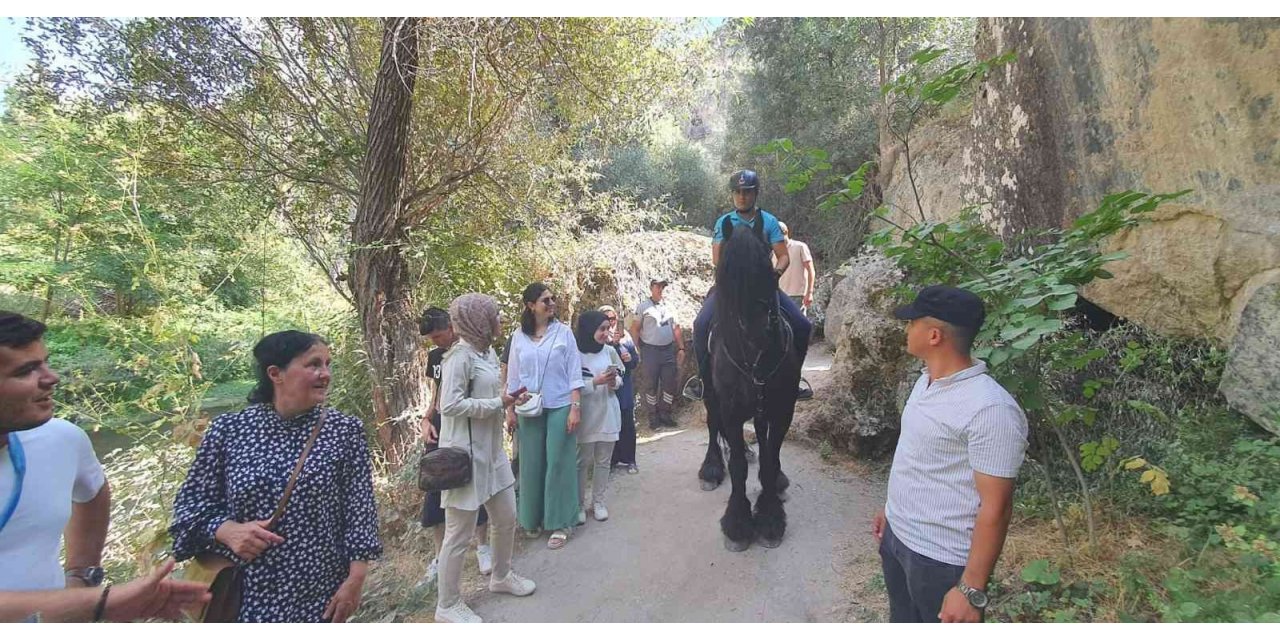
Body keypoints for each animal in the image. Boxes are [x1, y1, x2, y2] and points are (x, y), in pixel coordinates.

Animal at [701, 215, 798, 550]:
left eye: (767, 266)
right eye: (727, 274)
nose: (759, 333)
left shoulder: (782, 409)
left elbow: (770, 460)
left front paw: (769, 517)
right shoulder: (730, 410)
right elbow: (739, 467)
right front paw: (738, 522)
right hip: (711, 396)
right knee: (713, 424)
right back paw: (711, 468)